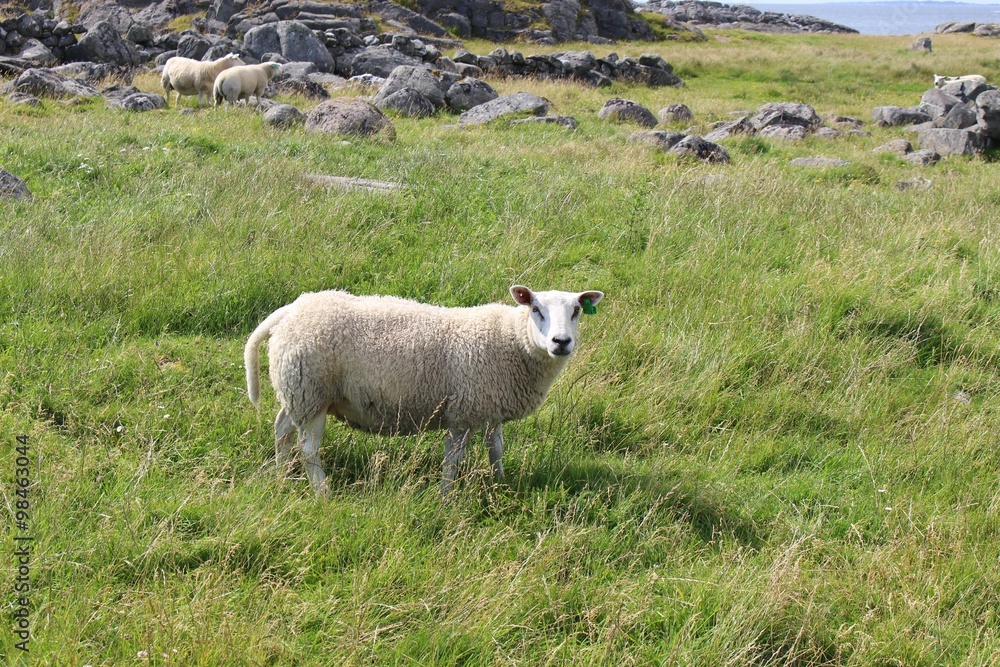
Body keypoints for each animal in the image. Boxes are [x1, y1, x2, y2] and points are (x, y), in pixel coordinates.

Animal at [244, 285, 605, 496]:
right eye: (535, 309)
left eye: (576, 311)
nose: (561, 342)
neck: (510, 340)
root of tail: (291, 310)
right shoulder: (462, 412)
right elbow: (453, 459)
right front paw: (446, 498)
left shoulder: (490, 409)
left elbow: (496, 450)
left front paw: (500, 484)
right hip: (312, 392)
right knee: (308, 448)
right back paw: (322, 493)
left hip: (297, 391)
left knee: (282, 429)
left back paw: (281, 477)